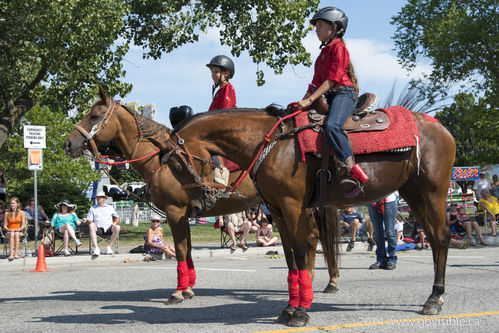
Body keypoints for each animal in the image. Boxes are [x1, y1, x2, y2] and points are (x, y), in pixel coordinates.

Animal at [63, 86, 340, 304]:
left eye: (94, 115)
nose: (68, 143)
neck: (164, 160)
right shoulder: (183, 215)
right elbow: (186, 250)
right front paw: (187, 288)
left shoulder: (174, 212)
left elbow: (180, 249)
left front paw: (178, 292)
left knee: (313, 237)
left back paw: (317, 280)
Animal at [160, 103, 458, 324]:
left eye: (178, 163)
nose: (194, 207)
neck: (271, 145)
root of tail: (439, 126)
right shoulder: (278, 211)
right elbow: (291, 257)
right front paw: (291, 307)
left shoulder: (292, 207)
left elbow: (302, 252)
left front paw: (301, 311)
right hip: (414, 193)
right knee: (433, 239)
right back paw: (436, 296)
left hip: (433, 192)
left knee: (442, 237)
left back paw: (434, 299)